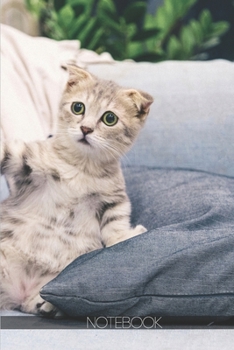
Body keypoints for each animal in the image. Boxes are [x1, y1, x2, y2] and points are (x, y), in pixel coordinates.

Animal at [0, 65, 154, 318]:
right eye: (78, 107)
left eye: (109, 118)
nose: (85, 128)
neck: (82, 167)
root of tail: (18, 293)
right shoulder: (25, 162)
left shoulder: (113, 199)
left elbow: (115, 226)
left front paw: (126, 236)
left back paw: (47, 304)